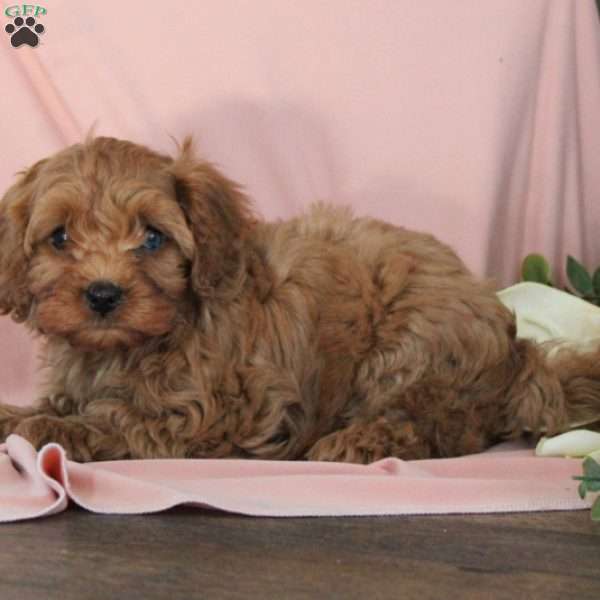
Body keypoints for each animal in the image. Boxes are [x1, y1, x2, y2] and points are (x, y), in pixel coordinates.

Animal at [1, 137, 600, 464]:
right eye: (59, 238)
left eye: (152, 238)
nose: (103, 294)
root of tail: (518, 354)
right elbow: (62, 401)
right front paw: (22, 413)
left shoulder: (205, 413)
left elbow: (121, 419)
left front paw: (55, 430)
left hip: (409, 351)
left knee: (433, 427)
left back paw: (356, 442)